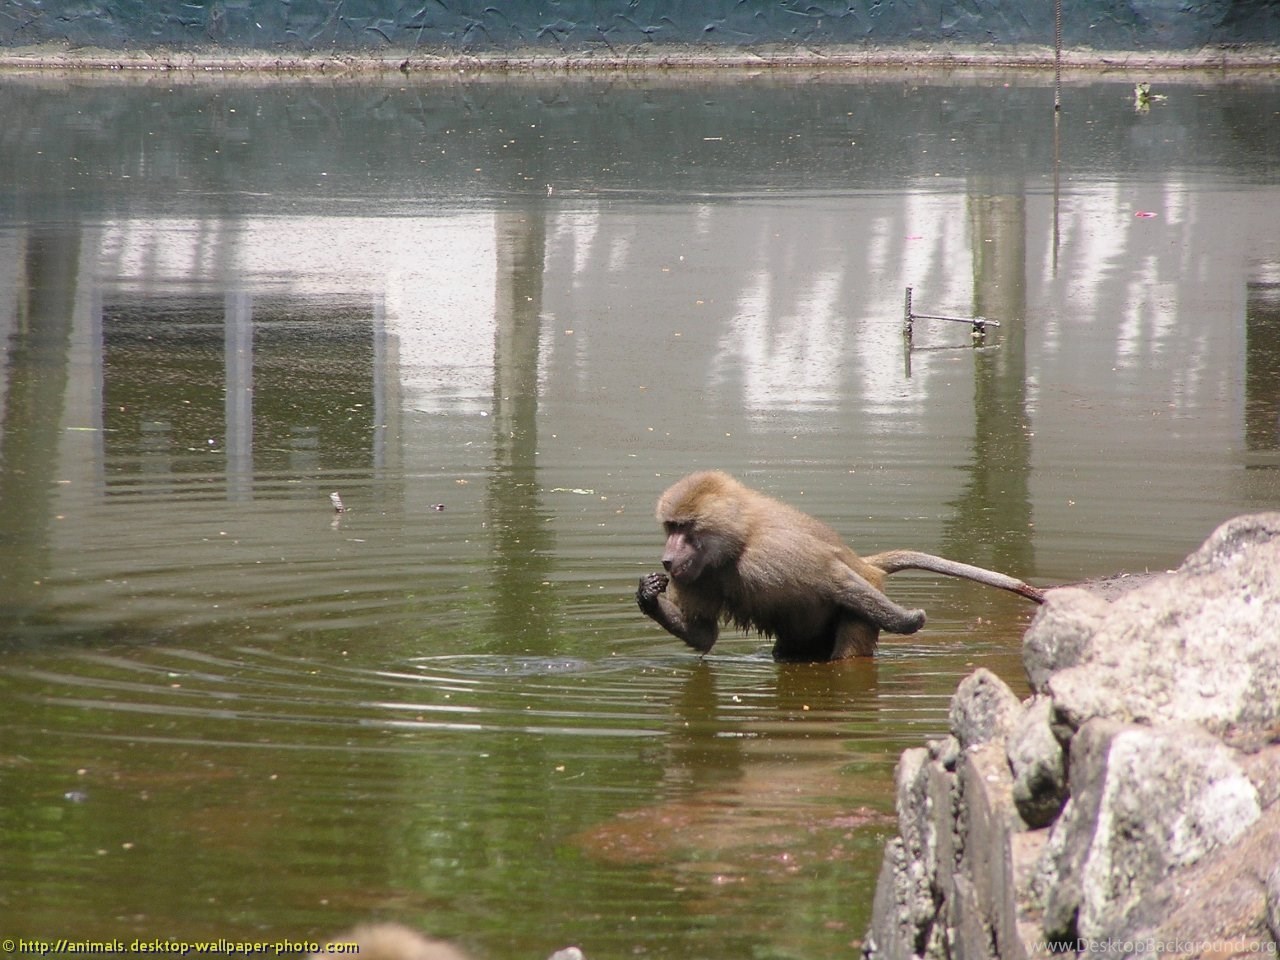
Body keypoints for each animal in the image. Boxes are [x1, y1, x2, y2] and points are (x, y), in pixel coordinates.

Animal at [635, 470, 1045, 662]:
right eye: (671, 527)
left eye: (685, 528)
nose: (667, 560)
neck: (737, 544)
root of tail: (867, 564)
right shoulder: (698, 576)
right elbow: (703, 635)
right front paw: (648, 594)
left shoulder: (774, 553)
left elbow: (835, 579)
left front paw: (909, 621)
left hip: (862, 602)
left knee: (852, 626)